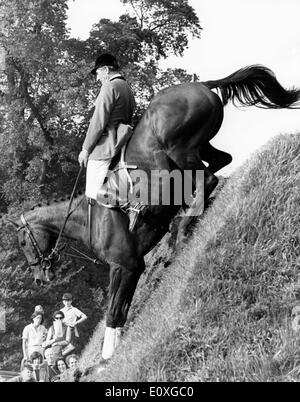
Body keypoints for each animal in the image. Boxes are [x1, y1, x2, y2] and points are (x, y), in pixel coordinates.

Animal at [9, 65, 300, 362]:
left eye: (22, 243)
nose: (39, 279)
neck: (87, 218)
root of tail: (200, 85)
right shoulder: (135, 267)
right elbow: (122, 310)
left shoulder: (123, 265)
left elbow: (113, 311)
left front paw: (107, 355)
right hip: (198, 147)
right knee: (220, 164)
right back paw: (183, 223)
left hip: (180, 149)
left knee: (207, 179)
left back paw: (181, 230)